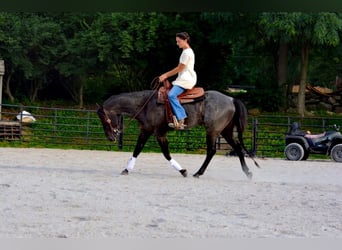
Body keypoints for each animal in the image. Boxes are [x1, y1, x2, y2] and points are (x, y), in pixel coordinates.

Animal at [96, 85, 260, 178]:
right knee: (238, 148)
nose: (110, 138)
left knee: (212, 151)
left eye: (104, 119)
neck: (145, 104)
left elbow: (165, 153)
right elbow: (137, 149)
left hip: (213, 131)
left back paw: (198, 173)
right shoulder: (146, 130)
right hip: (225, 131)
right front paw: (126, 169)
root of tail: (231, 99)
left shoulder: (158, 132)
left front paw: (183, 171)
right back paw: (248, 172)